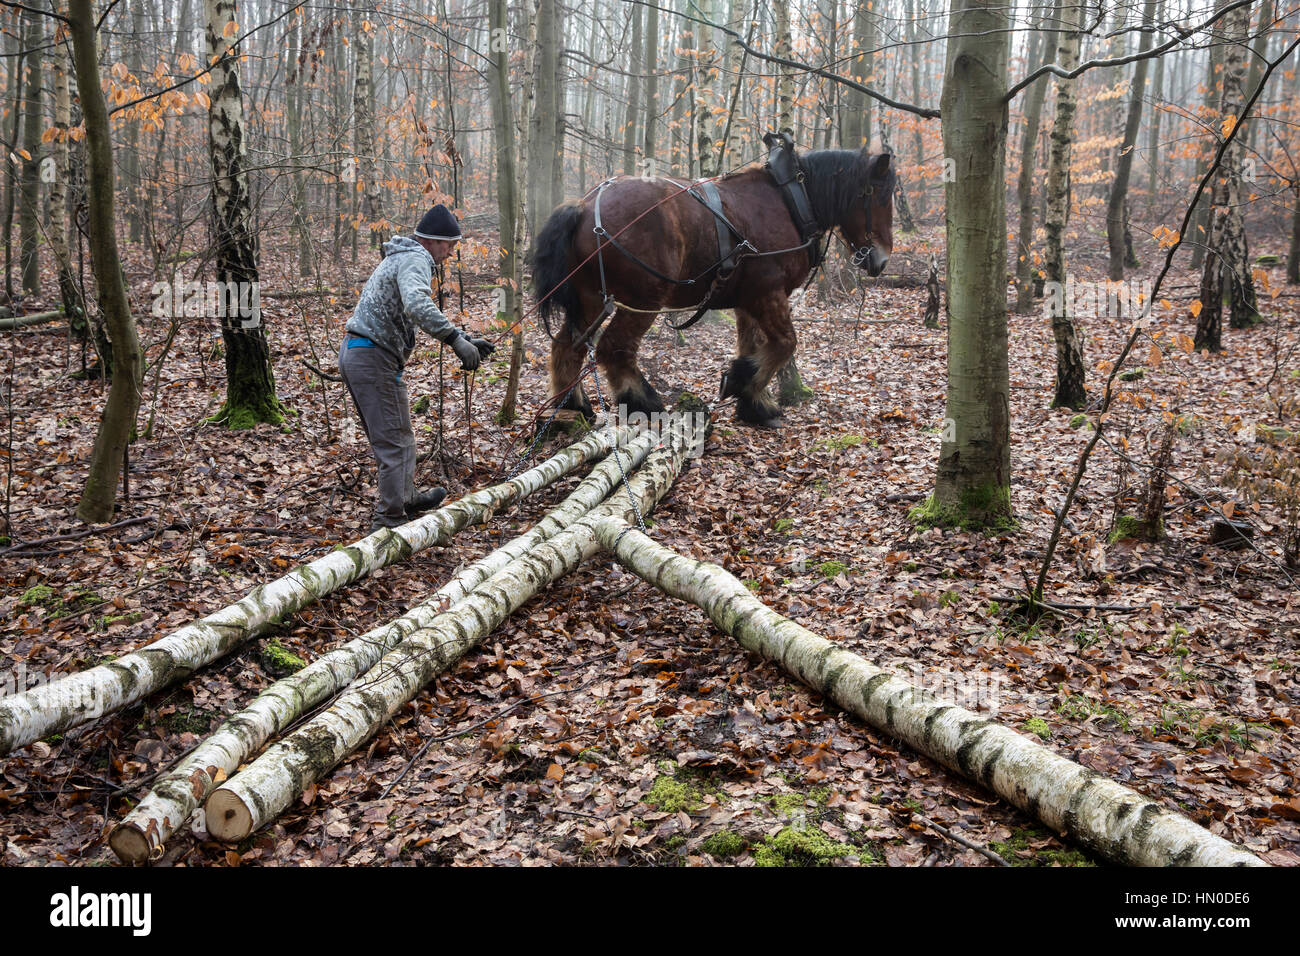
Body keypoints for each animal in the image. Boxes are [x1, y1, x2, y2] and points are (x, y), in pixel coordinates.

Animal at [532, 143, 895, 427]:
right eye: (879, 196)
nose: (881, 260)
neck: (792, 202)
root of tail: (584, 206)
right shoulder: (769, 293)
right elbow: (784, 344)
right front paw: (745, 388)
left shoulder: (748, 300)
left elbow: (751, 345)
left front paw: (751, 397)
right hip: (644, 299)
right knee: (613, 348)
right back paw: (643, 402)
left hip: (591, 297)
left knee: (568, 345)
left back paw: (572, 406)